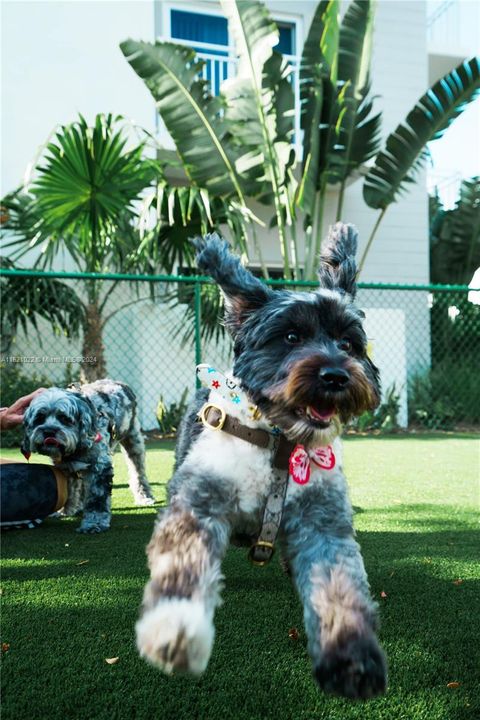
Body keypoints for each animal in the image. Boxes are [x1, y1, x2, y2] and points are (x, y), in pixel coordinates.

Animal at [21, 380, 155, 532]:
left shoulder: (99, 467)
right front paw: (65, 511)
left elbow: (96, 499)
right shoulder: (65, 468)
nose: (49, 432)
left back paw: (144, 496)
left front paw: (94, 523)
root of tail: (119, 383)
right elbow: (69, 491)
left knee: (138, 473)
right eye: (40, 418)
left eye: (64, 418)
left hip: (133, 442)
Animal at [134, 224, 386, 696]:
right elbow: (183, 564)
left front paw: (351, 657)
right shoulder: (199, 504)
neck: (278, 445)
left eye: (348, 343)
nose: (336, 376)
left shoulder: (323, 523)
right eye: (290, 337)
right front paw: (175, 628)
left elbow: (340, 588)